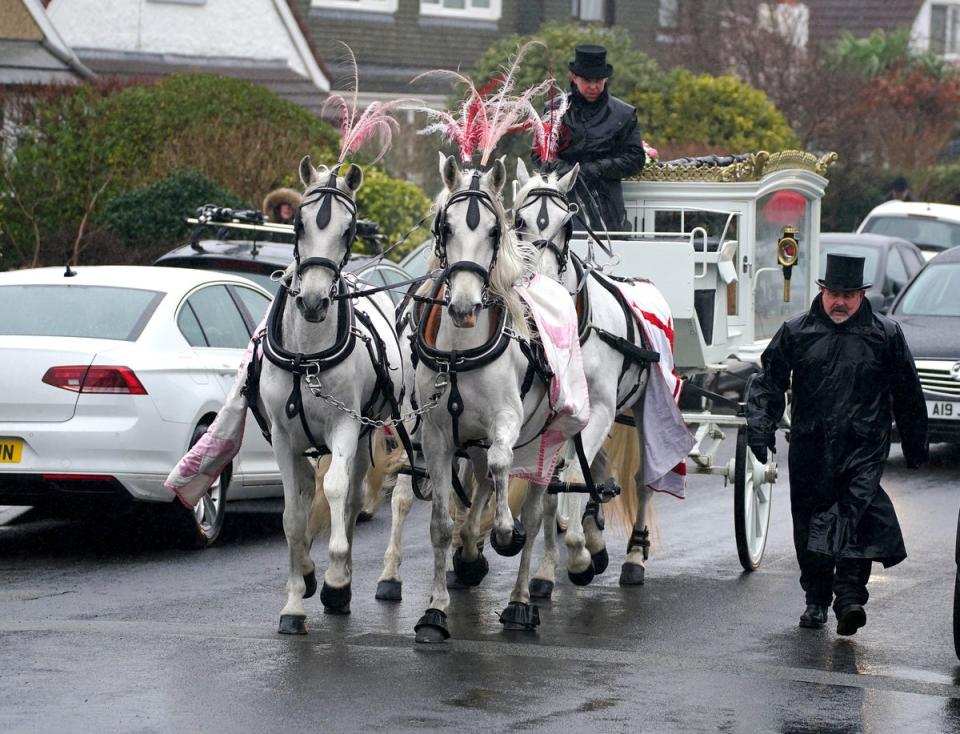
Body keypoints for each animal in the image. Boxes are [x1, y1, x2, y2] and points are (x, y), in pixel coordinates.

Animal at [258, 157, 404, 640]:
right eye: (298, 225)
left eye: (349, 228)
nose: (314, 301)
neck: (306, 353)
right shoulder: (283, 437)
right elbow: (291, 515)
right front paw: (293, 600)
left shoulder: (345, 424)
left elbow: (337, 490)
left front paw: (337, 579)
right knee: (312, 490)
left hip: (366, 431)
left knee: (353, 496)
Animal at [512, 160, 664, 592]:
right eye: (519, 220)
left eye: (568, 224)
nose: (543, 286)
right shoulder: (554, 418)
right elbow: (556, 486)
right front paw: (550, 567)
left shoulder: (601, 410)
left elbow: (575, 476)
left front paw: (579, 556)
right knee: (592, 472)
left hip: (648, 409)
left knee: (643, 480)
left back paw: (634, 555)